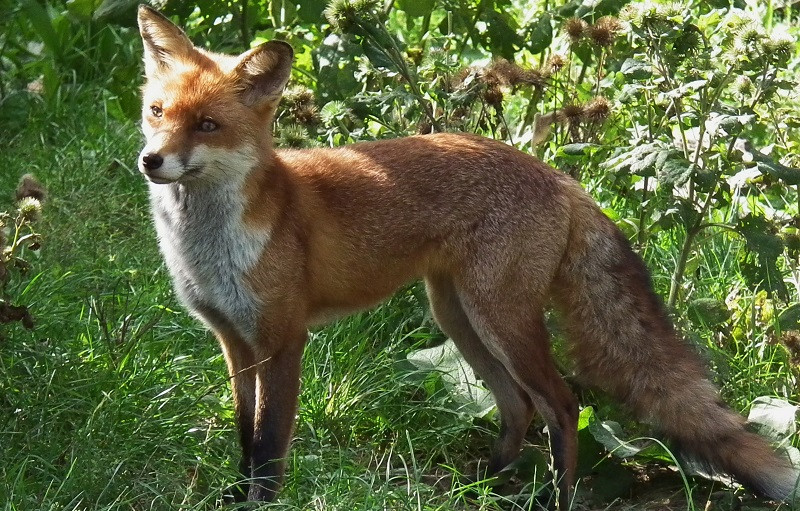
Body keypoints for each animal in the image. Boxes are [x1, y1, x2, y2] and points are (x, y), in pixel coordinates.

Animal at [134, 4, 796, 508]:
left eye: (208, 125)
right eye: (157, 113)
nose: (150, 161)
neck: (209, 246)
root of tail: (562, 178)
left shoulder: (282, 339)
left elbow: (269, 445)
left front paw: (260, 503)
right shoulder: (234, 342)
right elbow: (245, 436)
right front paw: (234, 496)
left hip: (499, 318)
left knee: (562, 403)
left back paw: (555, 497)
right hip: (458, 317)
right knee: (517, 406)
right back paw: (488, 485)